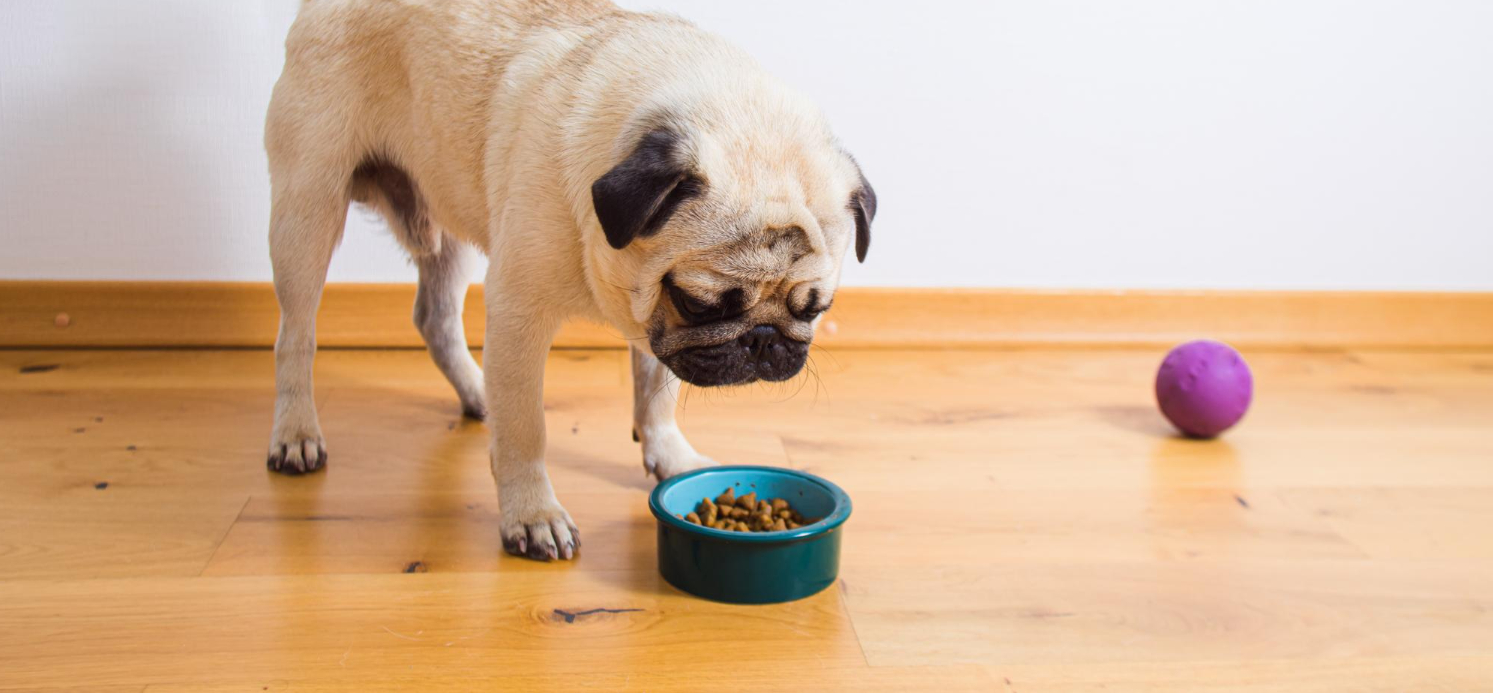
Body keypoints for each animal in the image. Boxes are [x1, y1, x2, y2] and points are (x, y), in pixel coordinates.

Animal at [265, 0, 871, 561]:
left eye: (814, 308)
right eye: (701, 305)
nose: (762, 340)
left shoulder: (654, 324)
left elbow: (657, 393)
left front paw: (672, 458)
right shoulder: (522, 313)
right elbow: (525, 427)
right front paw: (532, 513)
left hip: (445, 224)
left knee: (434, 318)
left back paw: (477, 393)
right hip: (307, 208)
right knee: (296, 334)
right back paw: (296, 433)